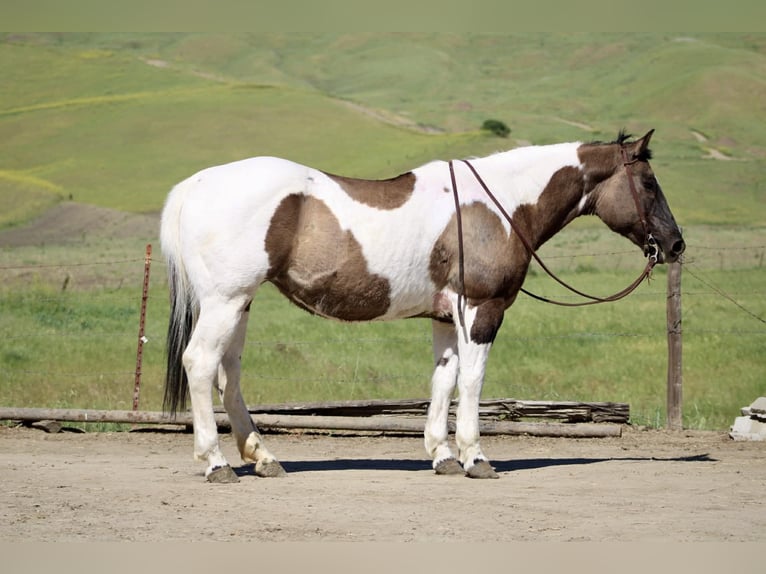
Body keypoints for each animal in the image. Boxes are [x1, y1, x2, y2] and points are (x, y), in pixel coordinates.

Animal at [160, 129, 685, 483]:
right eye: (649, 182)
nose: (675, 244)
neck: (499, 207)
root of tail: (196, 184)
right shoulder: (482, 310)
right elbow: (471, 382)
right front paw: (475, 456)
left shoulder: (447, 317)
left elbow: (444, 379)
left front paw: (443, 455)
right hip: (225, 302)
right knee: (201, 364)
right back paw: (215, 463)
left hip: (239, 305)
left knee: (228, 374)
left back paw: (264, 458)